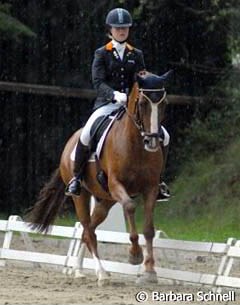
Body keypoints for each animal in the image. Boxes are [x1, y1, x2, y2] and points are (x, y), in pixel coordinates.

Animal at [27, 71, 171, 284]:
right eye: (143, 103)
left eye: (163, 103)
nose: (152, 141)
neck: (136, 145)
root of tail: (70, 142)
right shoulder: (116, 184)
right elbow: (130, 207)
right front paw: (134, 255)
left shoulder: (151, 188)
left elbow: (148, 229)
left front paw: (149, 273)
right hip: (81, 196)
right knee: (88, 230)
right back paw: (101, 273)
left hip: (106, 199)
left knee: (88, 231)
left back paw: (79, 270)